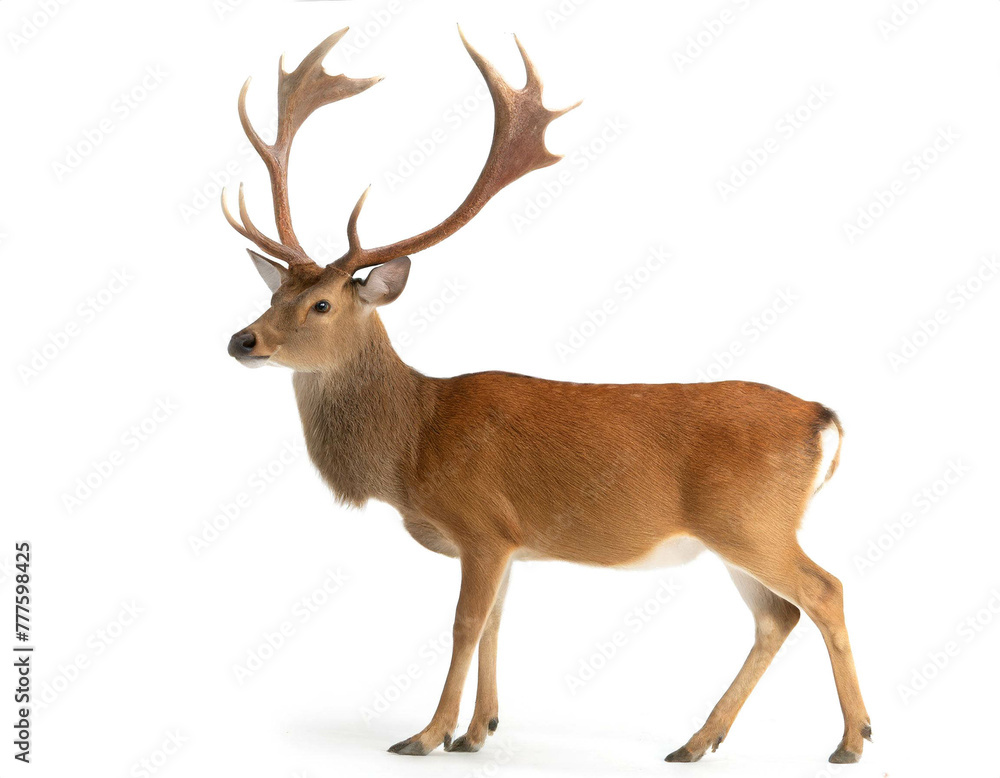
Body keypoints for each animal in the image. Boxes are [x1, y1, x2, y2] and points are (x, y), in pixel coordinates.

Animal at [222, 27, 871, 764]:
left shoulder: (480, 522)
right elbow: (497, 625)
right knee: (777, 616)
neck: (414, 442)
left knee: (825, 590)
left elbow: (464, 623)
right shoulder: (509, 542)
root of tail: (823, 418)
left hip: (753, 520)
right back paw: (698, 740)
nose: (242, 340)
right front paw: (478, 730)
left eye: (323, 304)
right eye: (275, 292)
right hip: (740, 533)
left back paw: (850, 740)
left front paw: (426, 734)